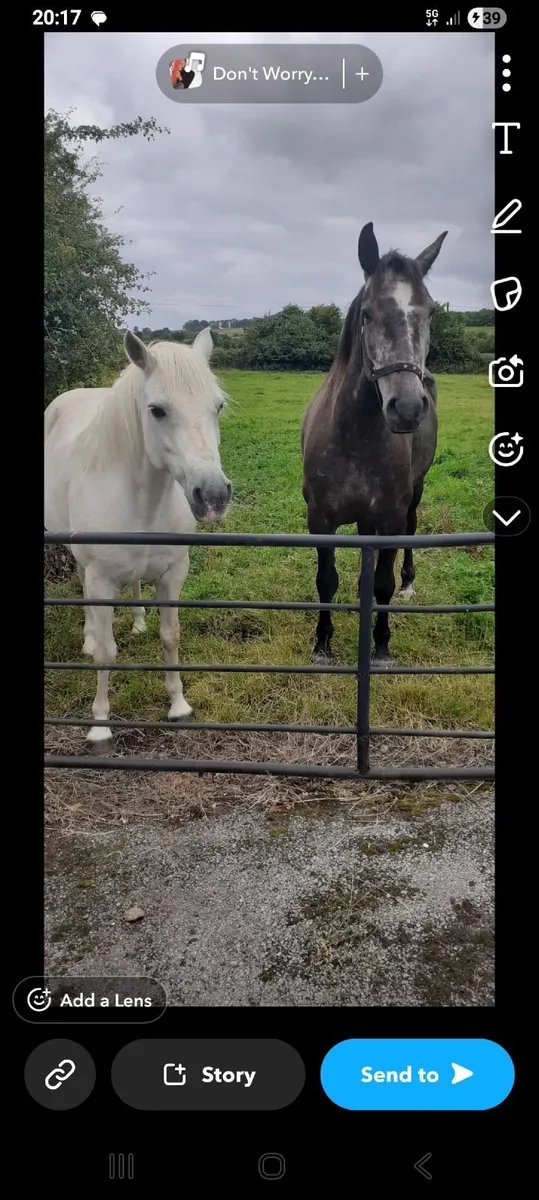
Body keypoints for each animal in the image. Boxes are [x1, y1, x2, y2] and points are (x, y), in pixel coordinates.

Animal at [45, 327, 232, 743]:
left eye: (218, 407)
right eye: (157, 410)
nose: (213, 495)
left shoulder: (173, 573)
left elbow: (170, 635)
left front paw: (179, 706)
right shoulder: (100, 580)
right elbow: (106, 653)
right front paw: (100, 725)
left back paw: (138, 620)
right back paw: (87, 638)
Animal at [301, 221, 447, 666]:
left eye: (429, 311)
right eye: (367, 313)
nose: (409, 408)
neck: (354, 437)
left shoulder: (390, 518)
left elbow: (383, 582)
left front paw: (381, 646)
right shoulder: (320, 519)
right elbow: (326, 580)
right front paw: (322, 645)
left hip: (414, 493)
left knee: (411, 535)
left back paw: (409, 583)